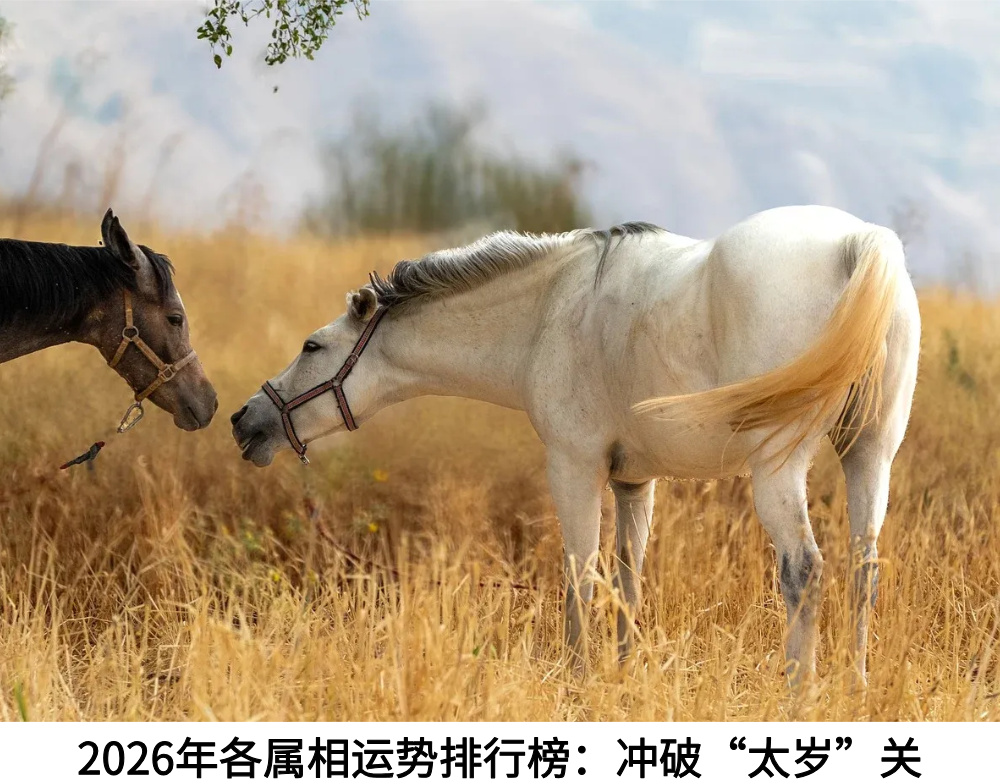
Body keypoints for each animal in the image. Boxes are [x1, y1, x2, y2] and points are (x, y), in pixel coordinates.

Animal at [230, 205, 920, 688]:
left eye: (312, 346)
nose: (244, 420)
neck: (551, 309)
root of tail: (859, 242)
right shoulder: (634, 481)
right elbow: (627, 577)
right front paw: (622, 672)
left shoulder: (574, 466)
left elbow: (580, 574)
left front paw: (578, 677)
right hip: (869, 456)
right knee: (864, 566)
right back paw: (855, 686)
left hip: (777, 466)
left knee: (804, 570)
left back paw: (798, 692)